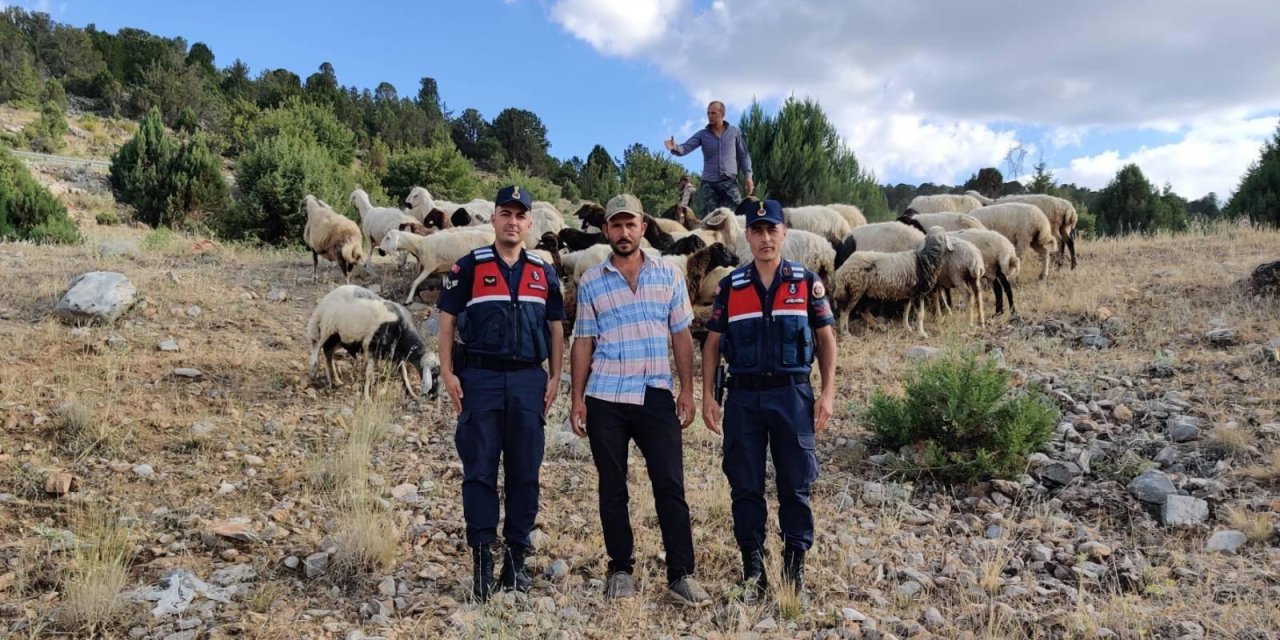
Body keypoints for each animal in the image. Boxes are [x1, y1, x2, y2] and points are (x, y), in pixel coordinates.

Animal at [304, 285, 440, 399]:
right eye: (434, 374)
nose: (435, 396)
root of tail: (325, 300)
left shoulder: (396, 355)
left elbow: (404, 373)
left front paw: (411, 393)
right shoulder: (370, 347)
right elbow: (369, 375)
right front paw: (367, 398)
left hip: (340, 337)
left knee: (328, 353)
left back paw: (335, 380)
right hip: (327, 328)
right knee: (316, 345)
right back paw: (314, 371)